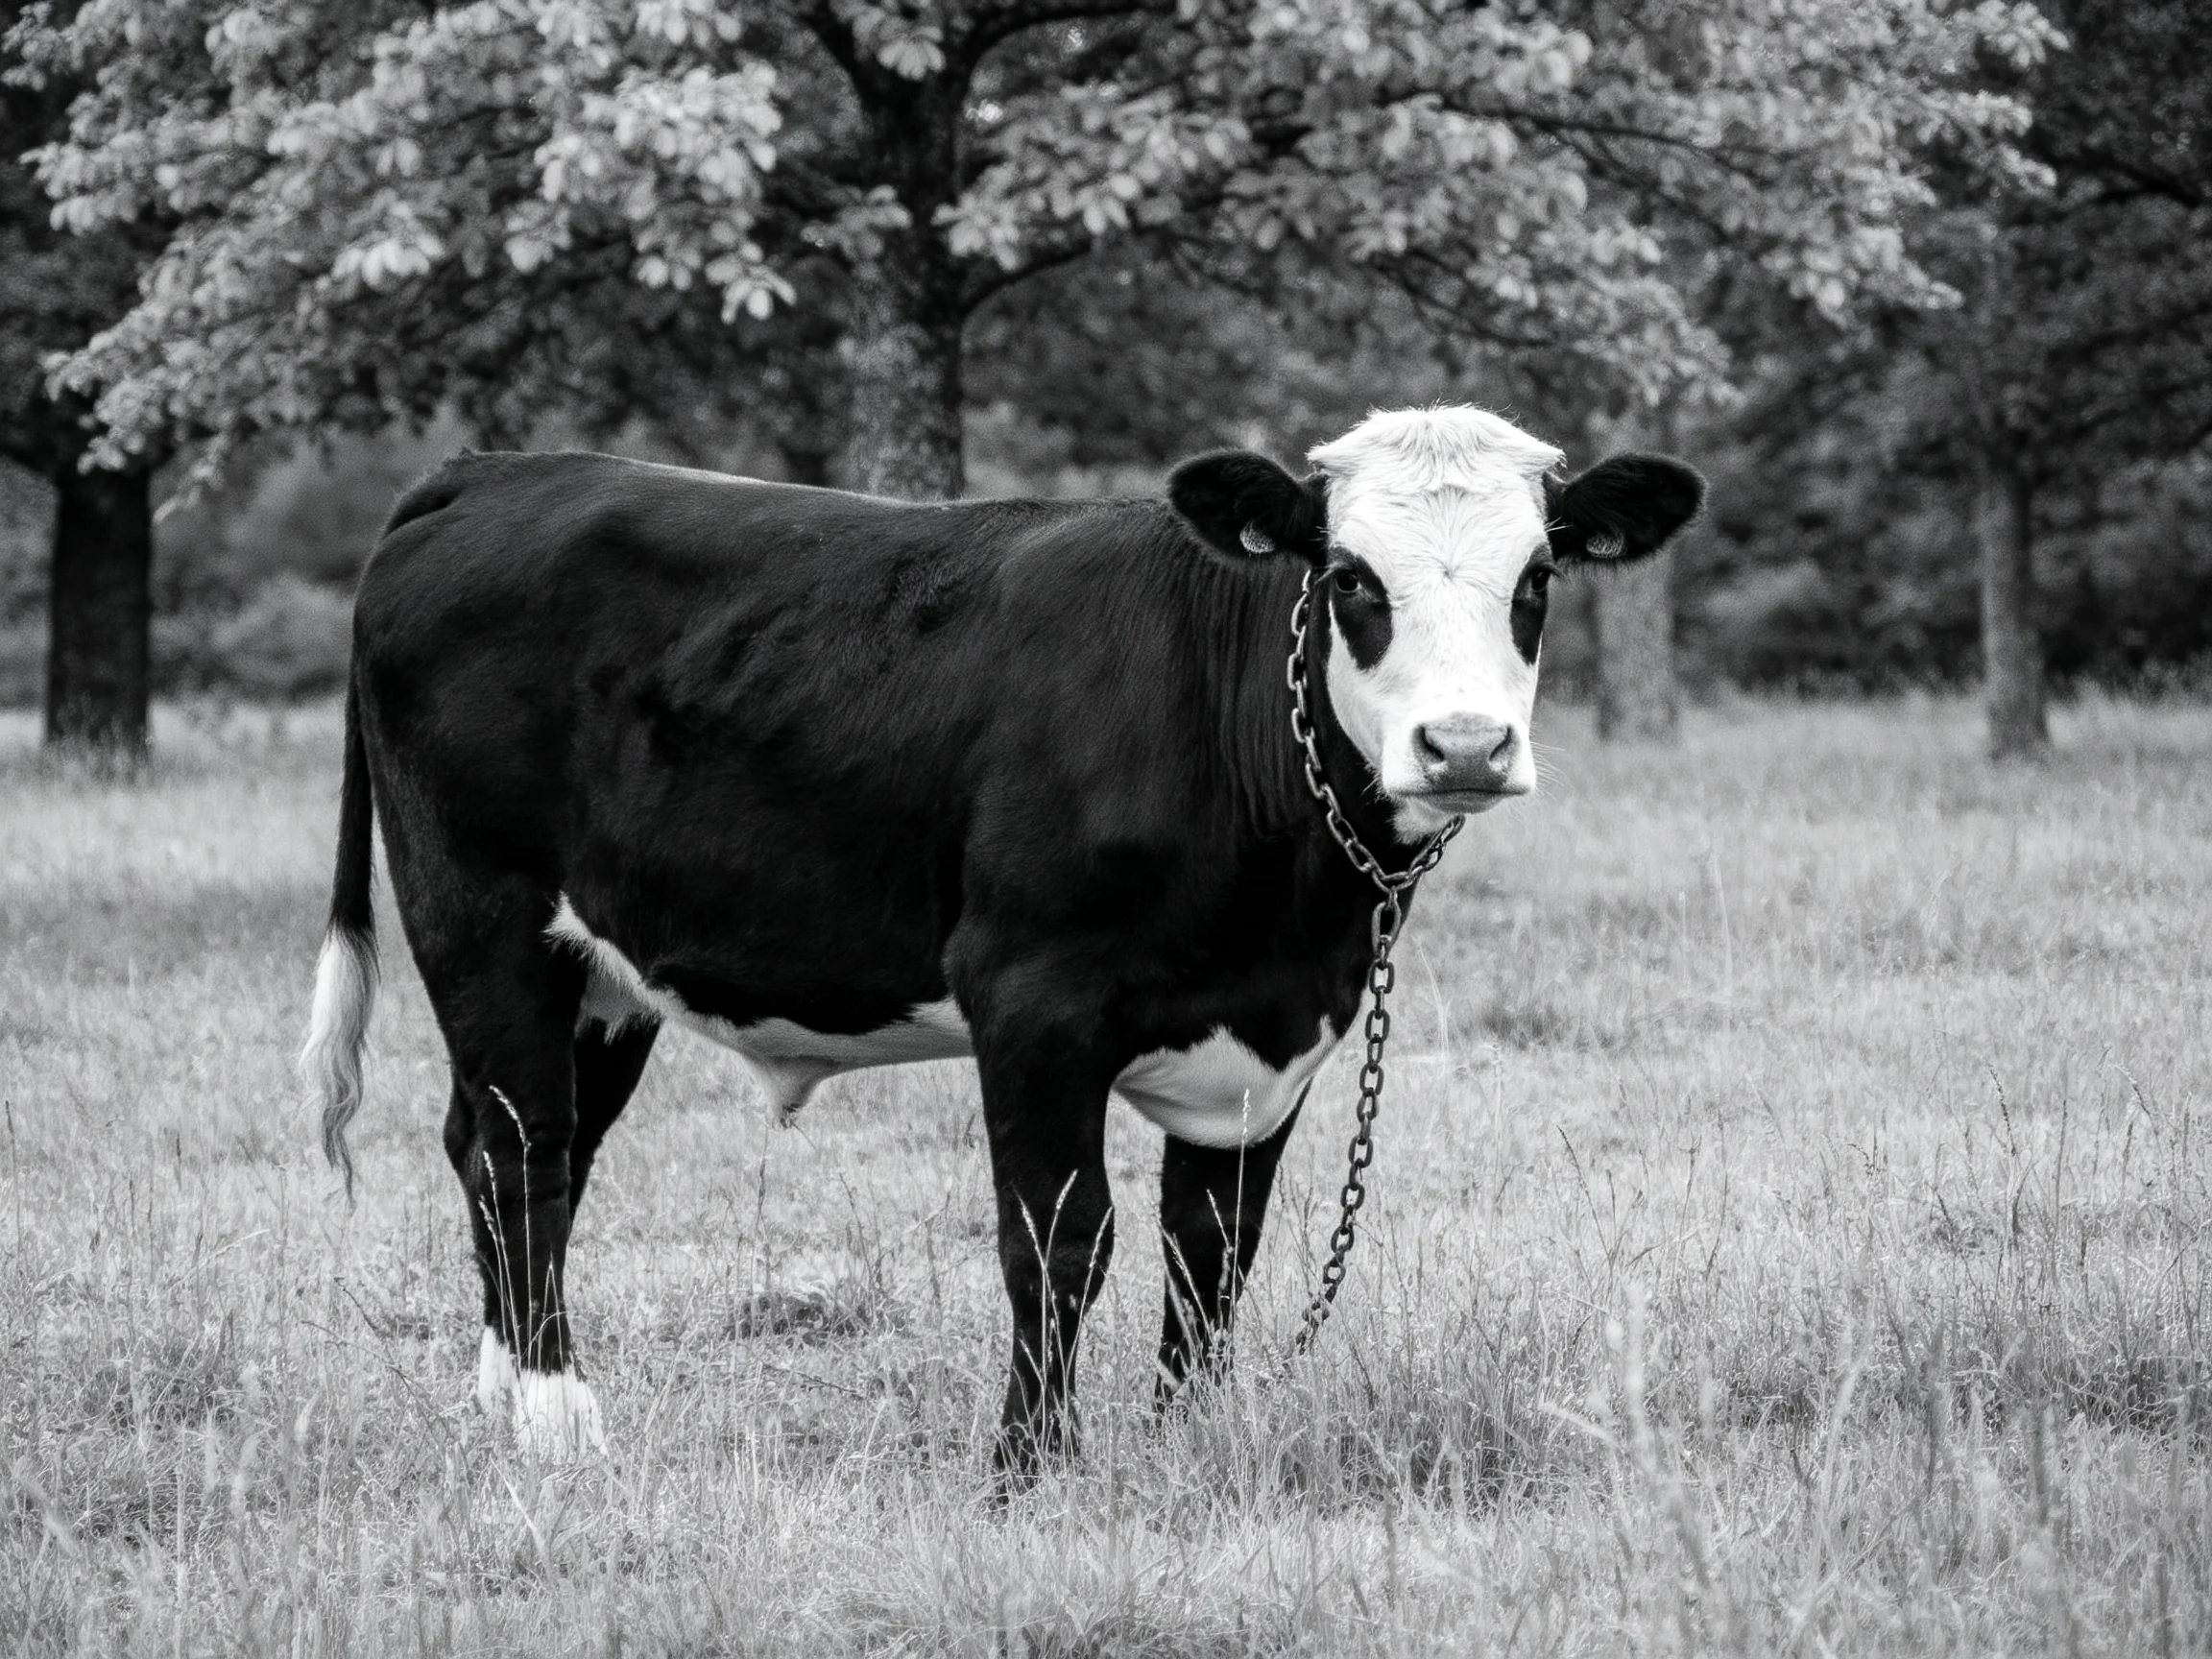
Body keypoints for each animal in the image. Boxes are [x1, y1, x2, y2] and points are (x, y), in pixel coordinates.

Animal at [300, 406, 1701, 1476]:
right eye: (1352, 578)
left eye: (1537, 581)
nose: (1465, 747)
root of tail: (498, 469)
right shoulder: (1032, 1002)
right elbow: (1060, 1239)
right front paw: (1032, 1463)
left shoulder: (1273, 1037)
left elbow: (1211, 1254)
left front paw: (1187, 1445)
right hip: (482, 920)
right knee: (519, 1149)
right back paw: (556, 1423)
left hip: (603, 969)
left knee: (517, 1146)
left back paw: (501, 1400)